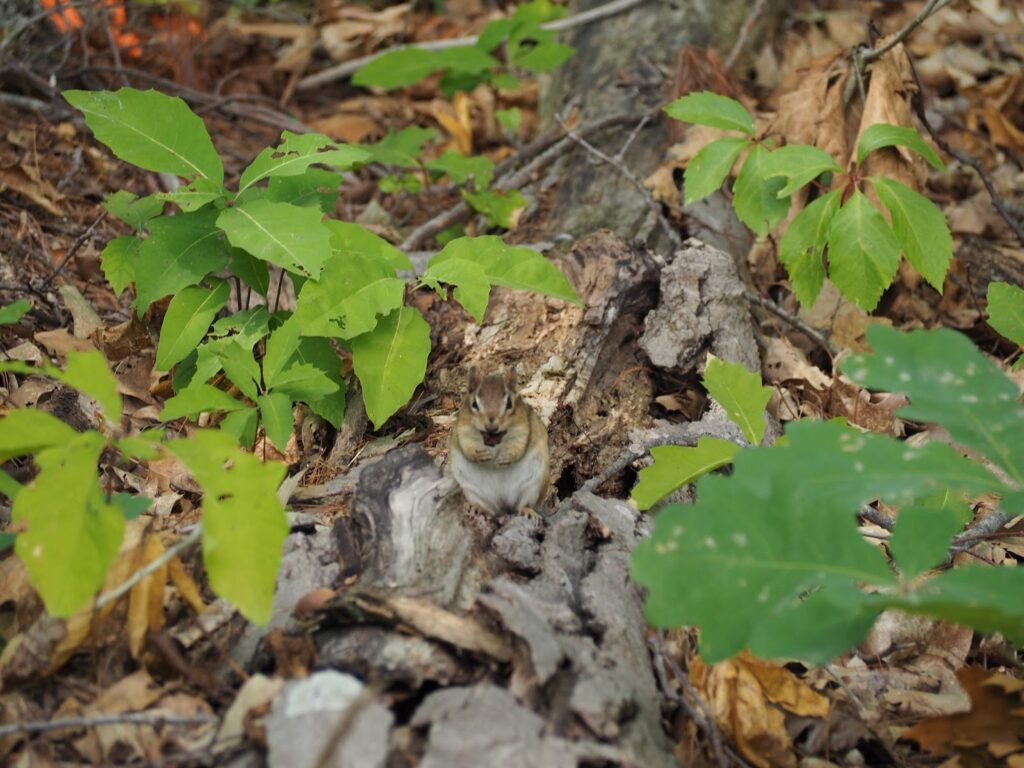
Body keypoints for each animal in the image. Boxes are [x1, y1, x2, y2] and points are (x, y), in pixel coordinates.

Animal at [448, 366, 549, 516]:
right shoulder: (463, 429)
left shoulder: (523, 427)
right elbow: (467, 445)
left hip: (533, 486)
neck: (493, 437)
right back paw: (478, 508)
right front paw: (479, 455)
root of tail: (503, 501)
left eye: (509, 403)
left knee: (522, 504)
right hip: (472, 490)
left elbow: (519, 445)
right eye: (474, 404)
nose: (491, 425)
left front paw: (507, 457)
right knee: (490, 509)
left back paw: (527, 511)